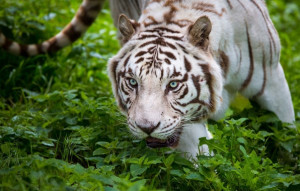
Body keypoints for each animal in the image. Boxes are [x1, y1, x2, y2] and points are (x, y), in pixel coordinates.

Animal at [0, 0, 296, 158]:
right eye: (132, 82)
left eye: (173, 84)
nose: (146, 128)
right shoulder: (182, 124)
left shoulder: (273, 79)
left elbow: (287, 134)